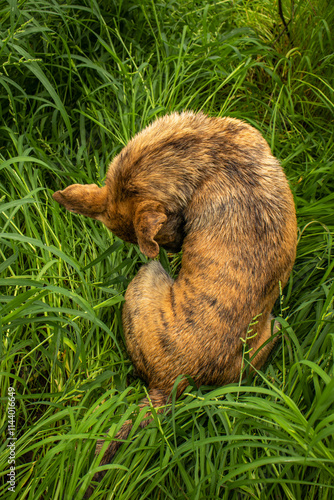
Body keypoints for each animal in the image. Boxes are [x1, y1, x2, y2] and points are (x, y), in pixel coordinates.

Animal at [52, 110, 298, 492]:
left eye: (167, 232)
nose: (175, 250)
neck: (208, 150)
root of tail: (171, 385)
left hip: (147, 278)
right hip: (267, 327)